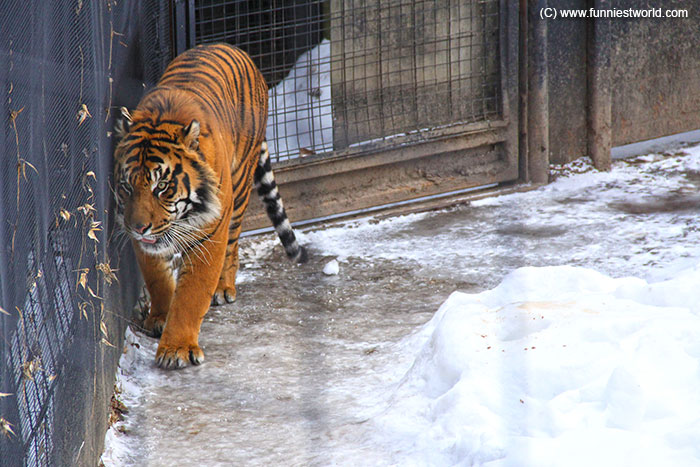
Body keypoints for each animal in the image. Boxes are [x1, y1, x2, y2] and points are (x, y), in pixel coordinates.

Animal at [113, 43, 307, 369]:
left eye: (161, 187)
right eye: (127, 187)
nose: (138, 228)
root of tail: (232, 47)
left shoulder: (209, 232)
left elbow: (191, 294)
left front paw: (176, 349)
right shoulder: (147, 243)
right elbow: (157, 279)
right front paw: (160, 317)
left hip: (238, 190)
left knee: (233, 244)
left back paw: (222, 288)